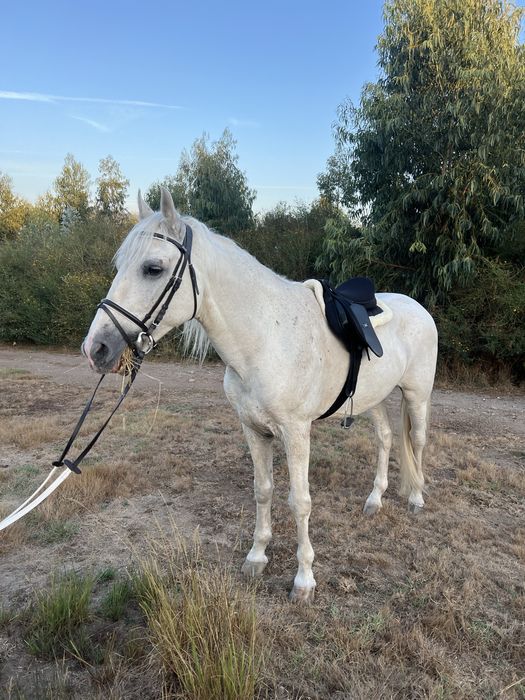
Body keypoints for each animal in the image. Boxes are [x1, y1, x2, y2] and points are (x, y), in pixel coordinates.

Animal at [83, 188, 438, 603]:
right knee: (385, 439)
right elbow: (263, 491)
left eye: (153, 268)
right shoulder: (254, 430)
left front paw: (304, 580)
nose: (95, 348)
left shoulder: (296, 433)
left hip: (417, 396)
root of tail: (417, 307)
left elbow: (300, 502)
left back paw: (415, 499)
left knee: (417, 441)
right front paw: (257, 556)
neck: (265, 337)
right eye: (119, 265)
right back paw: (374, 500)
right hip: (374, 399)